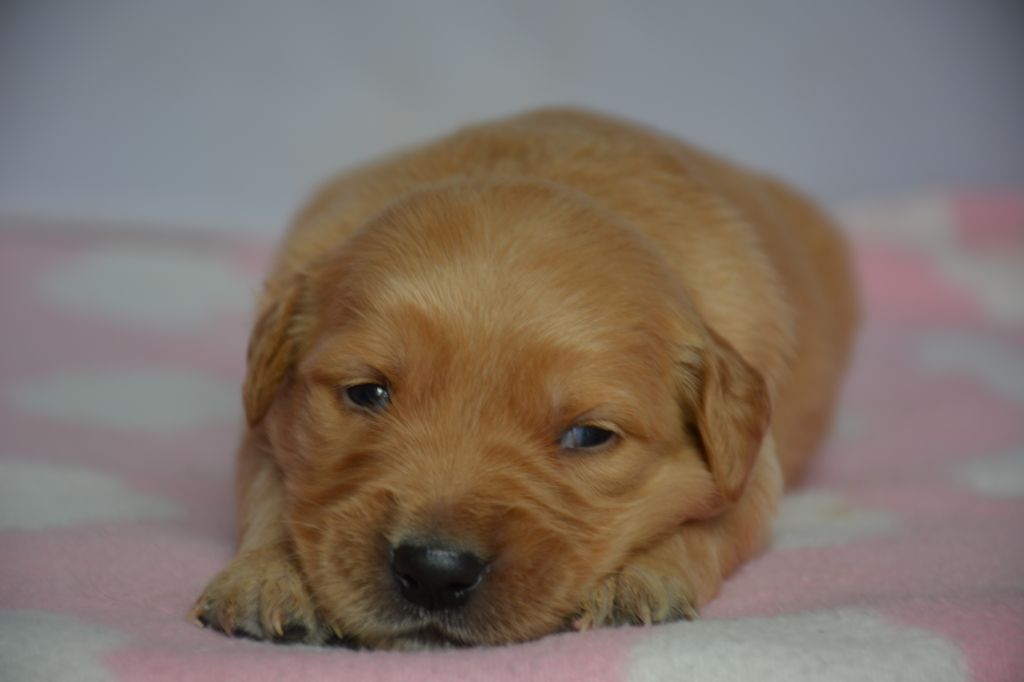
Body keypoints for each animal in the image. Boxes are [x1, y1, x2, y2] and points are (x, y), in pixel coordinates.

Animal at [191, 109, 858, 649]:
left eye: (589, 436)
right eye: (366, 393)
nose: (434, 570)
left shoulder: (754, 472)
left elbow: (713, 524)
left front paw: (639, 578)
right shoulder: (262, 425)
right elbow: (270, 492)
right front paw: (268, 576)